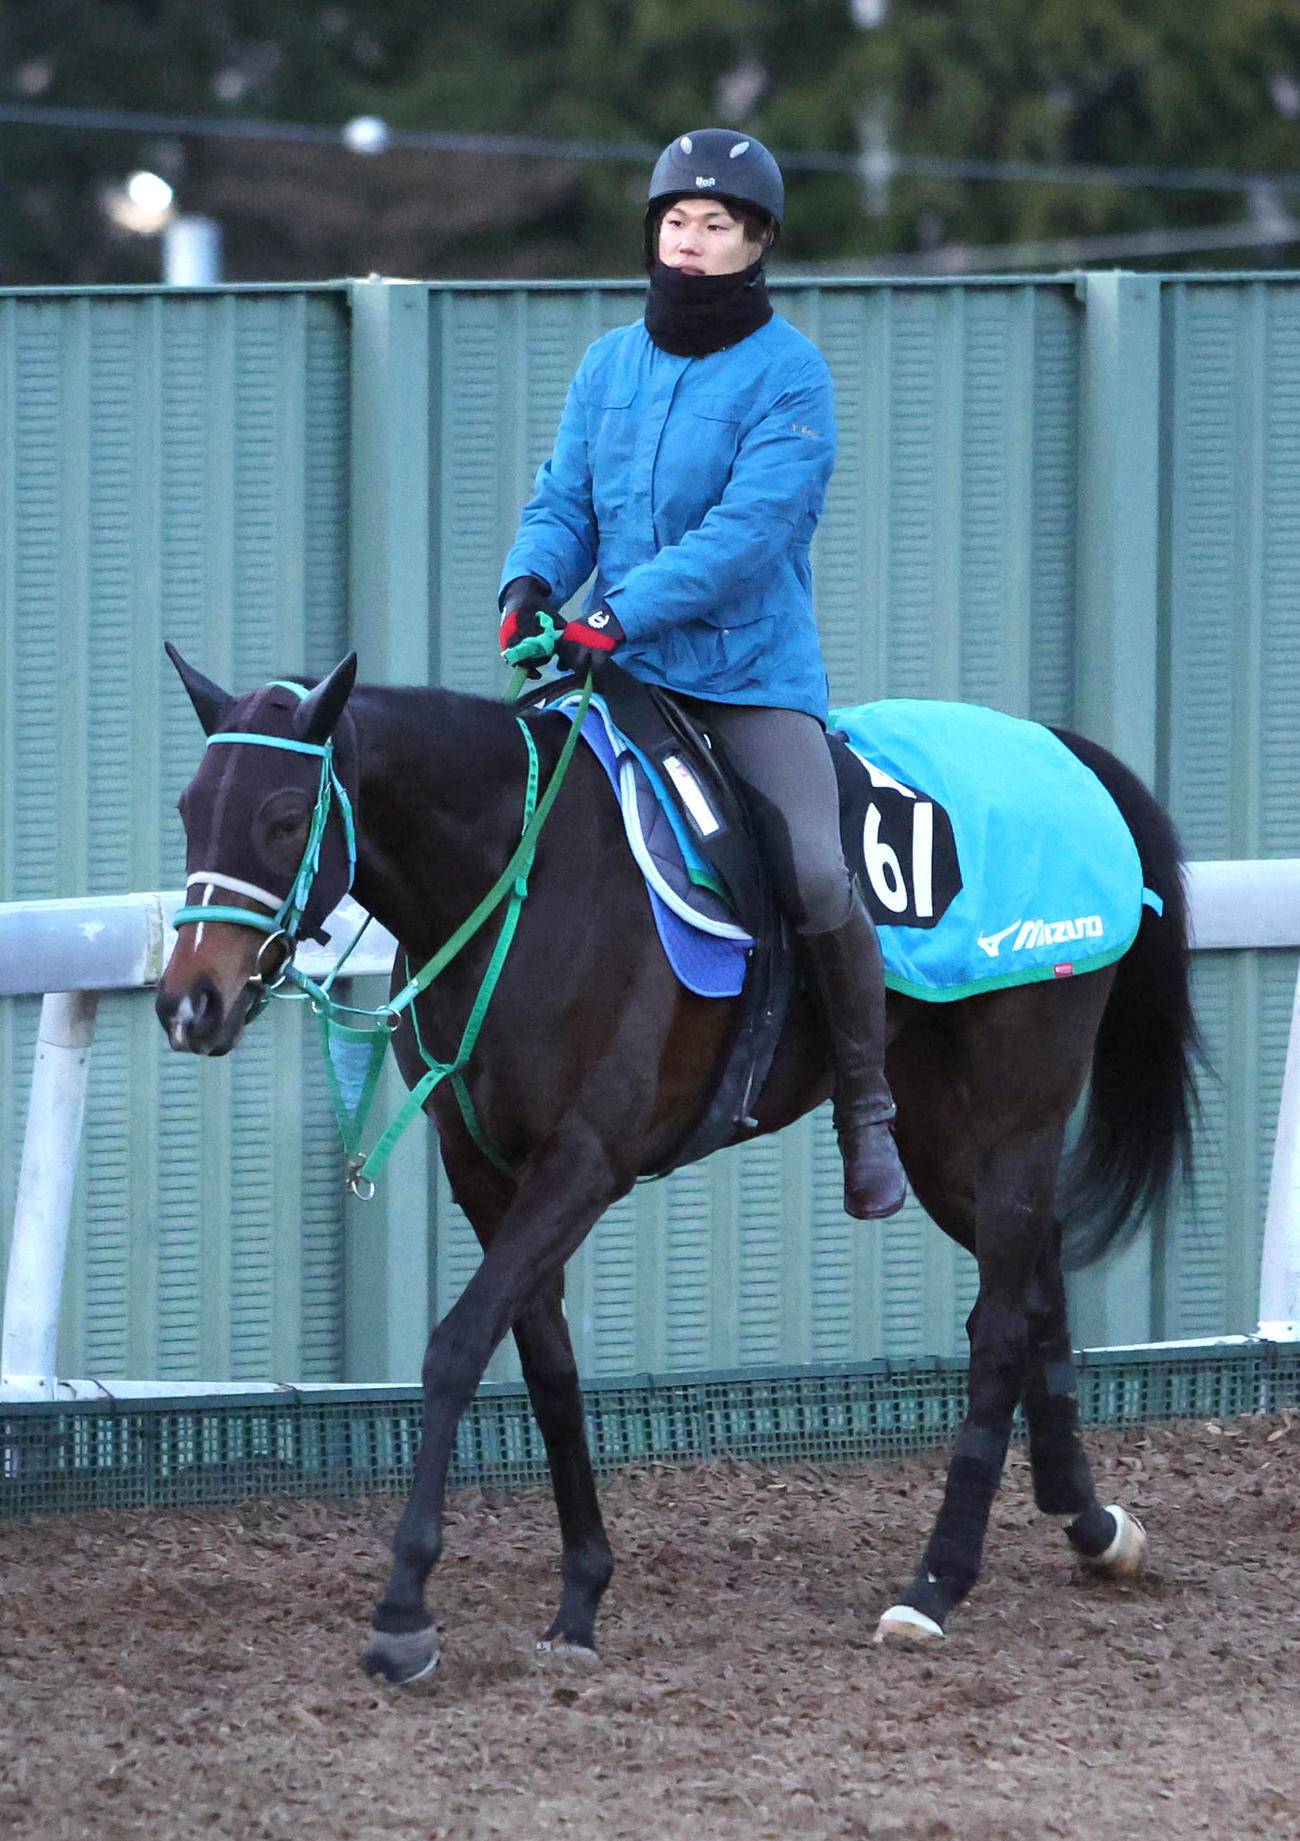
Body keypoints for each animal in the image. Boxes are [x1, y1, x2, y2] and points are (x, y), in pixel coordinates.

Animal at [155, 647, 1199, 1683]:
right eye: (187, 806)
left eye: (283, 816)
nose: (189, 1003)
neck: (526, 877)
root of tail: (1063, 752)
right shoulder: (486, 1170)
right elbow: (547, 1366)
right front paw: (580, 1594)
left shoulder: (584, 1161)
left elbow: (456, 1347)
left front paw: (405, 1608)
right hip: (949, 1137)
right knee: (1036, 1278)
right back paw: (1091, 1524)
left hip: (1018, 1103)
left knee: (997, 1326)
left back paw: (935, 1582)